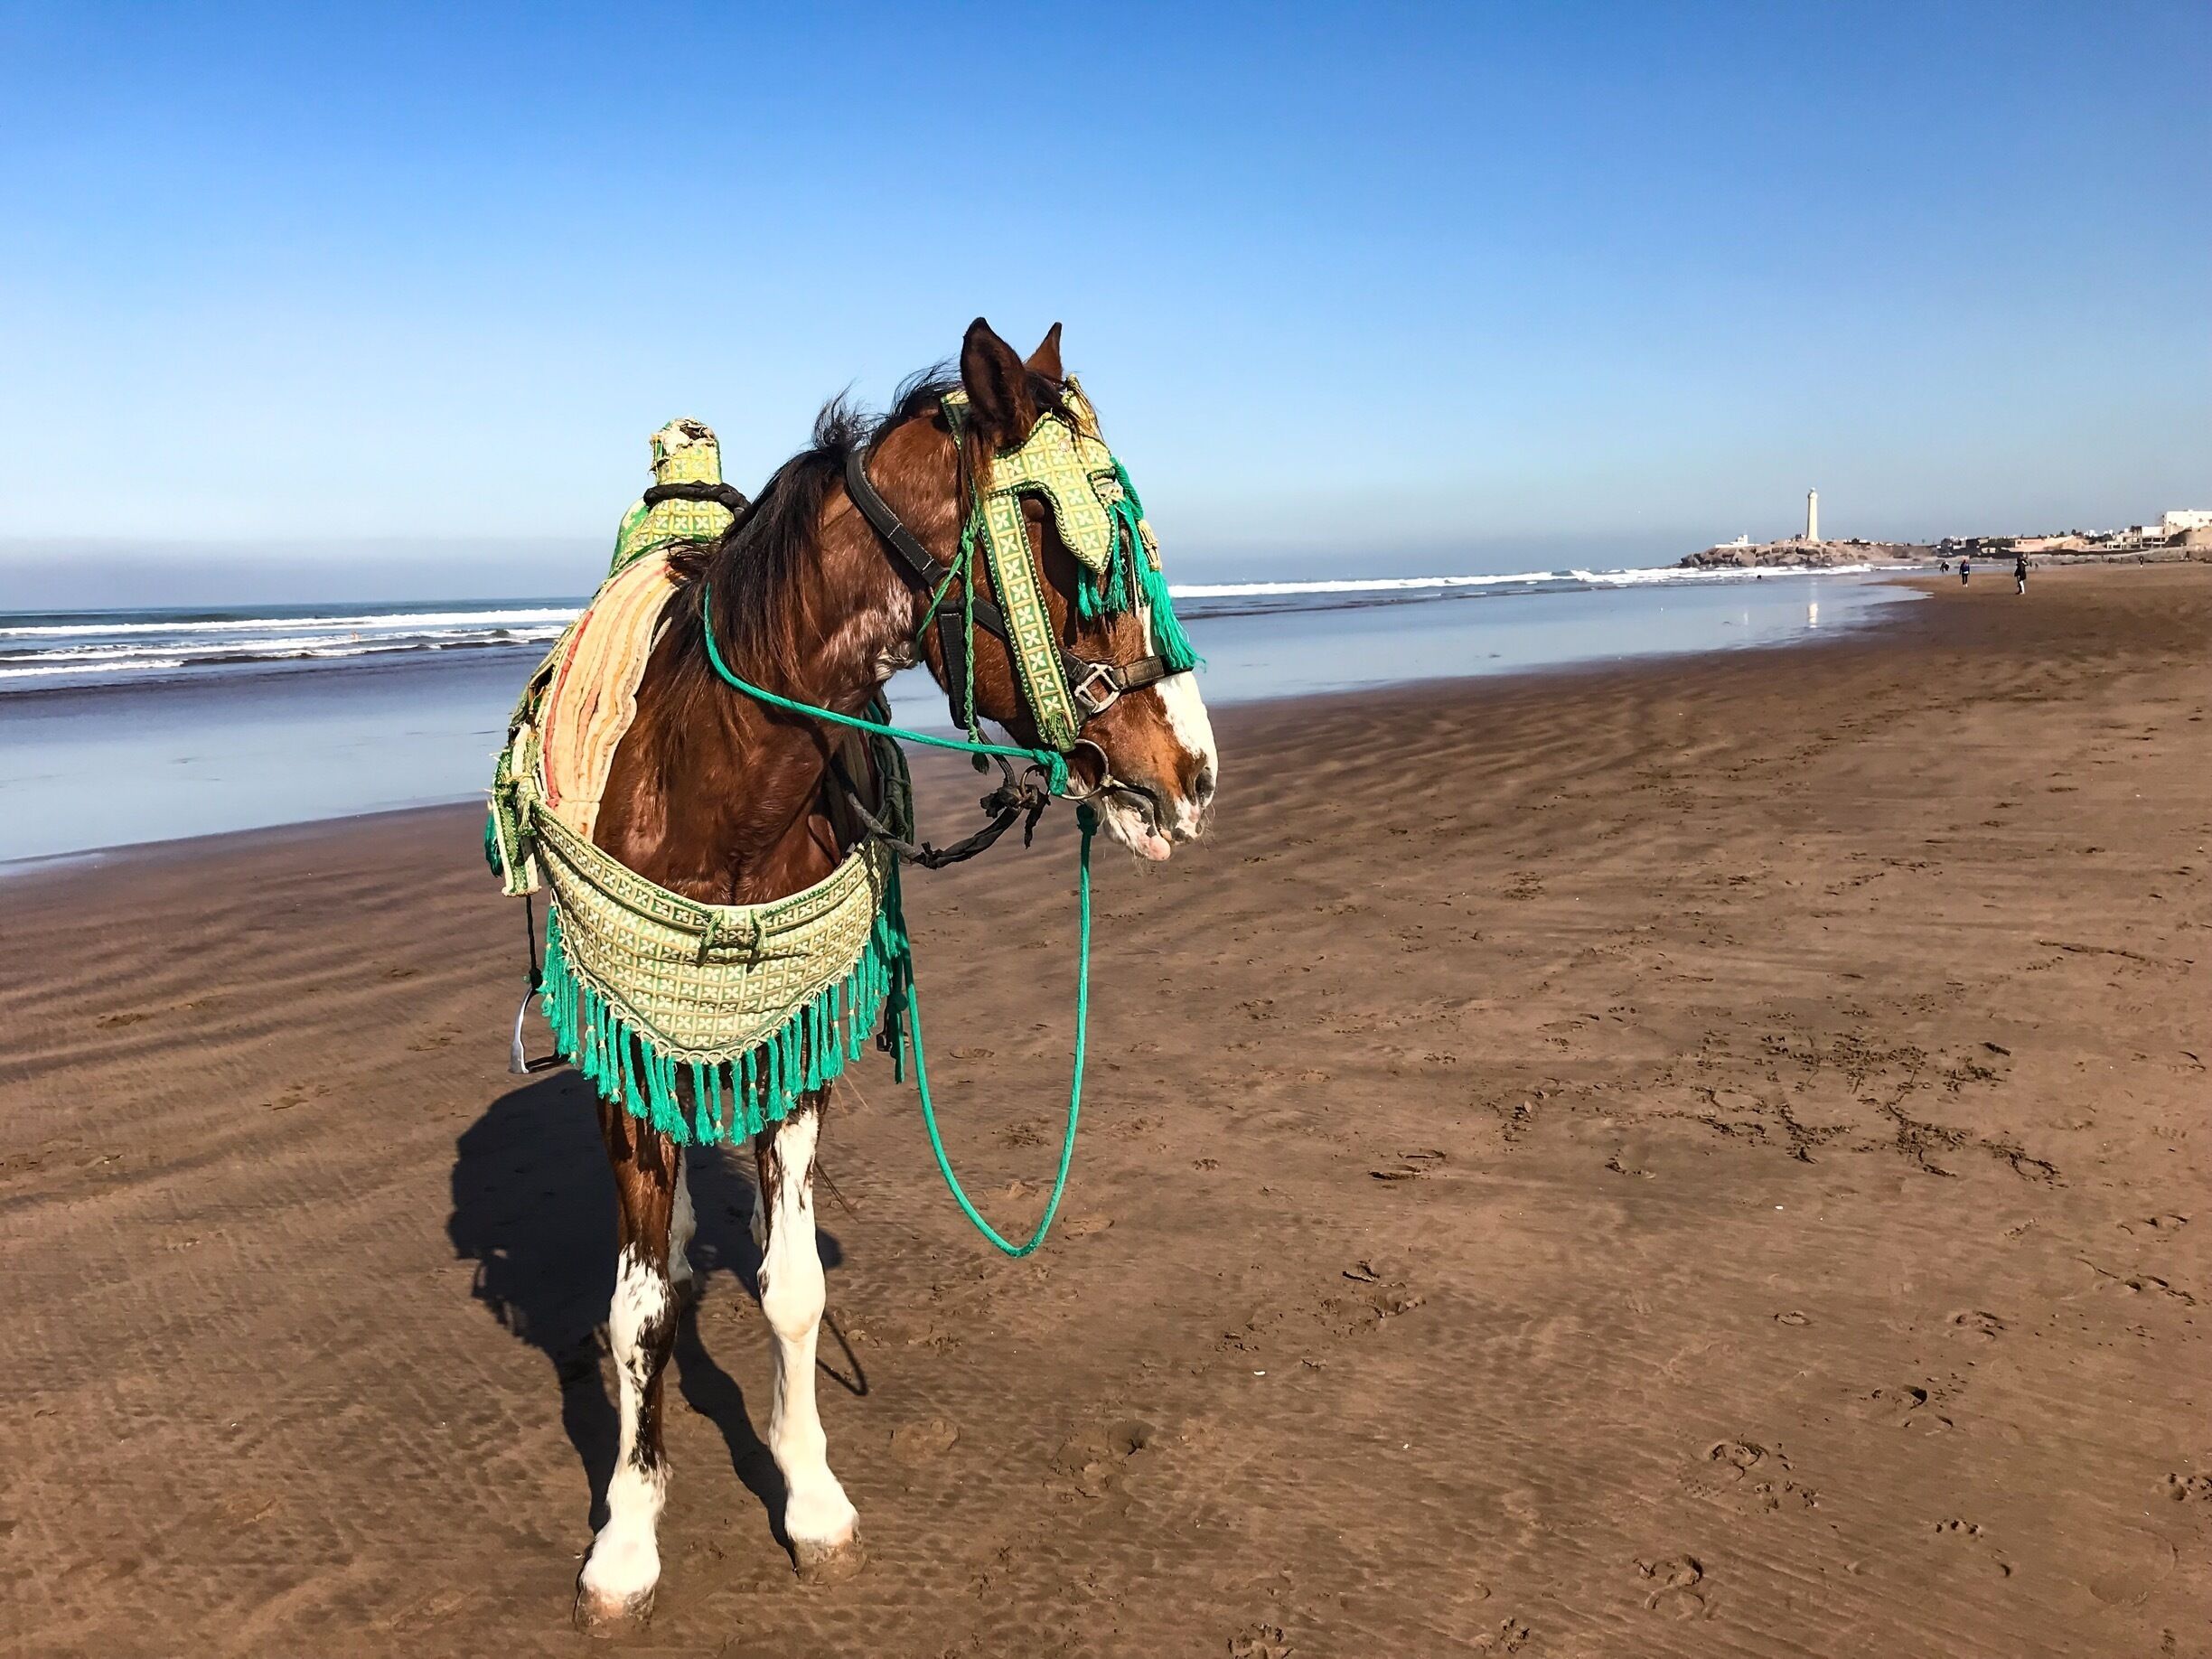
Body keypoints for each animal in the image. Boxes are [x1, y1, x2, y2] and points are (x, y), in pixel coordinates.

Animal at [560, 318, 1218, 1629]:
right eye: (1093, 558)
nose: (1197, 774)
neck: (711, 782)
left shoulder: (794, 1047)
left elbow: (793, 1288)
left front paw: (811, 1496)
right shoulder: (632, 1051)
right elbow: (637, 1311)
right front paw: (627, 1540)